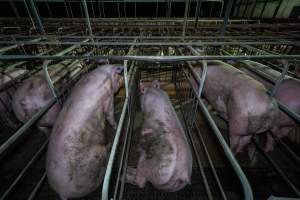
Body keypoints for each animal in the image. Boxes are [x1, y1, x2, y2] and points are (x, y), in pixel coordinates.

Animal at [46, 64, 123, 200]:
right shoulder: (108, 99)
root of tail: (61, 191)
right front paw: (115, 126)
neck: (106, 76)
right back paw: (109, 147)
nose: (123, 79)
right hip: (95, 159)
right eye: (119, 75)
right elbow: (110, 114)